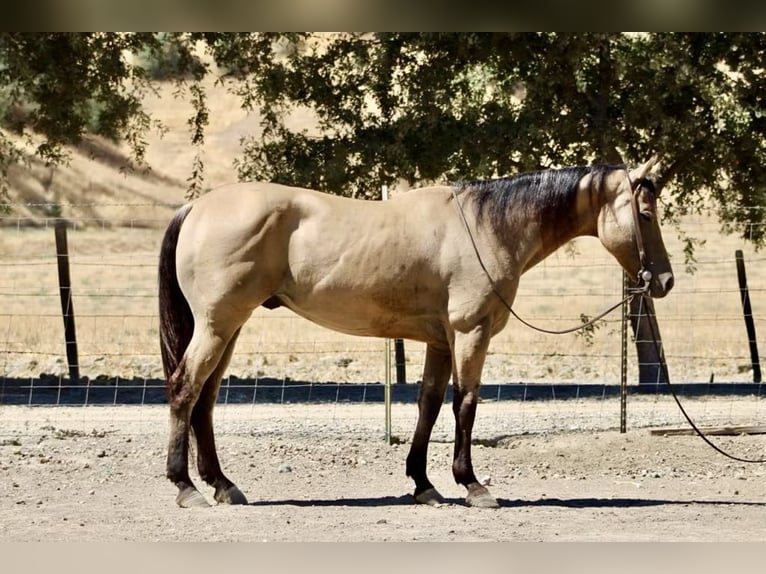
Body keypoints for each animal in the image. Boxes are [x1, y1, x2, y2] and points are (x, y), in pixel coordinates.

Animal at [158, 157, 674, 509]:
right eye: (646, 214)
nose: (664, 281)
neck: (487, 227)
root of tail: (197, 207)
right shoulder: (470, 333)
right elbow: (466, 403)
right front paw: (472, 485)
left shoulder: (440, 341)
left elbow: (429, 404)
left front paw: (424, 485)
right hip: (218, 325)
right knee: (185, 390)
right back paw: (186, 487)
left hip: (229, 329)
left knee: (205, 400)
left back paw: (223, 485)